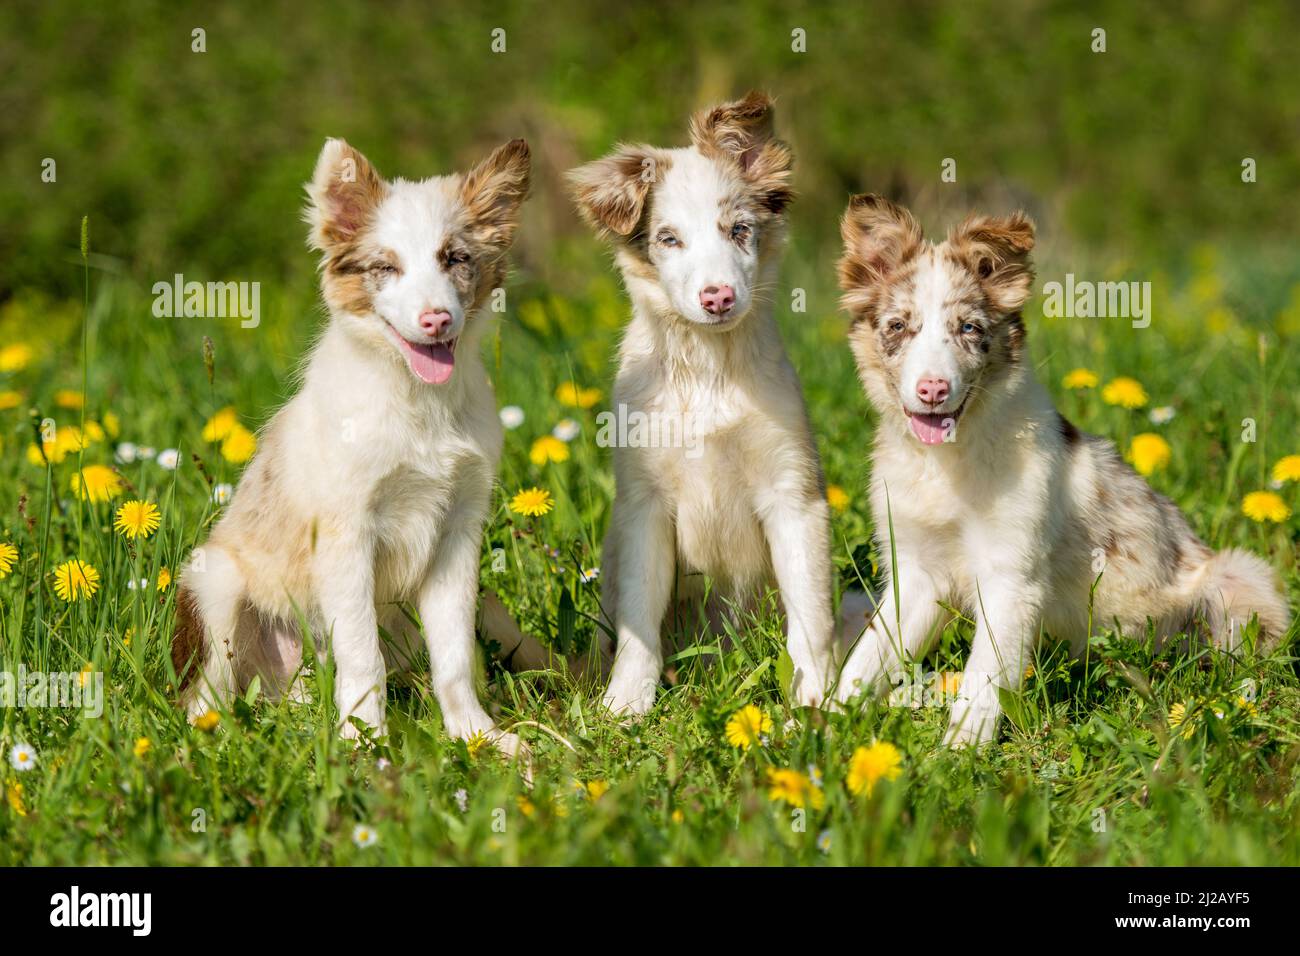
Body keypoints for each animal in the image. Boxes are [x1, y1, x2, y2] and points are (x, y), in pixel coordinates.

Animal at [175, 138, 535, 749]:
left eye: (455, 258)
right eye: (385, 267)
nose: (436, 320)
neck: (417, 404)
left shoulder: (458, 534)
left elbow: (454, 656)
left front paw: (475, 735)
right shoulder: (347, 535)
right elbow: (363, 655)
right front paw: (365, 744)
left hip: (485, 607)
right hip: (215, 581)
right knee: (206, 696)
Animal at [566, 93, 832, 712]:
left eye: (739, 230)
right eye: (669, 239)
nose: (718, 297)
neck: (708, 370)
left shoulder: (793, 492)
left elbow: (811, 616)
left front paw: (818, 700)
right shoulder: (643, 504)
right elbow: (640, 617)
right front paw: (626, 704)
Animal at [832, 195, 1289, 749]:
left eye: (969, 329)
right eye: (899, 327)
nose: (933, 390)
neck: (948, 464)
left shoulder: (1011, 577)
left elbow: (984, 677)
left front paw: (961, 750)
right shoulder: (918, 574)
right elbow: (865, 661)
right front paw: (812, 726)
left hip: (1239, 577)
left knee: (1242, 665)